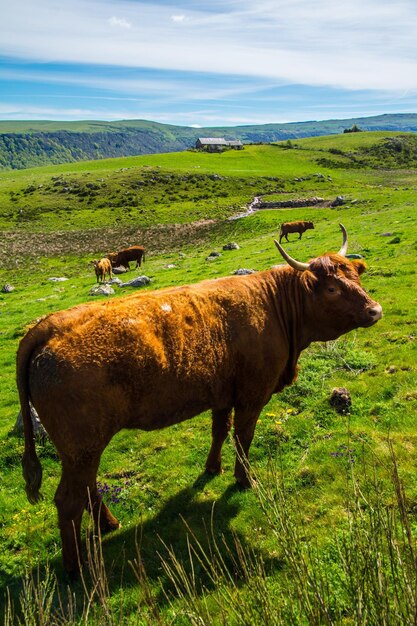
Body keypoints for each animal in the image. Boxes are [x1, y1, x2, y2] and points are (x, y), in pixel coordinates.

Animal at [17, 224, 382, 576]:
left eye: (357, 276)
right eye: (332, 289)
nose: (375, 310)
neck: (276, 307)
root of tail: (48, 325)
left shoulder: (222, 393)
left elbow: (220, 431)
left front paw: (212, 468)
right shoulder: (253, 394)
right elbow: (243, 438)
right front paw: (244, 479)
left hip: (83, 449)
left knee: (88, 488)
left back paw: (109, 524)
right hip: (82, 446)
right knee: (68, 501)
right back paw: (76, 568)